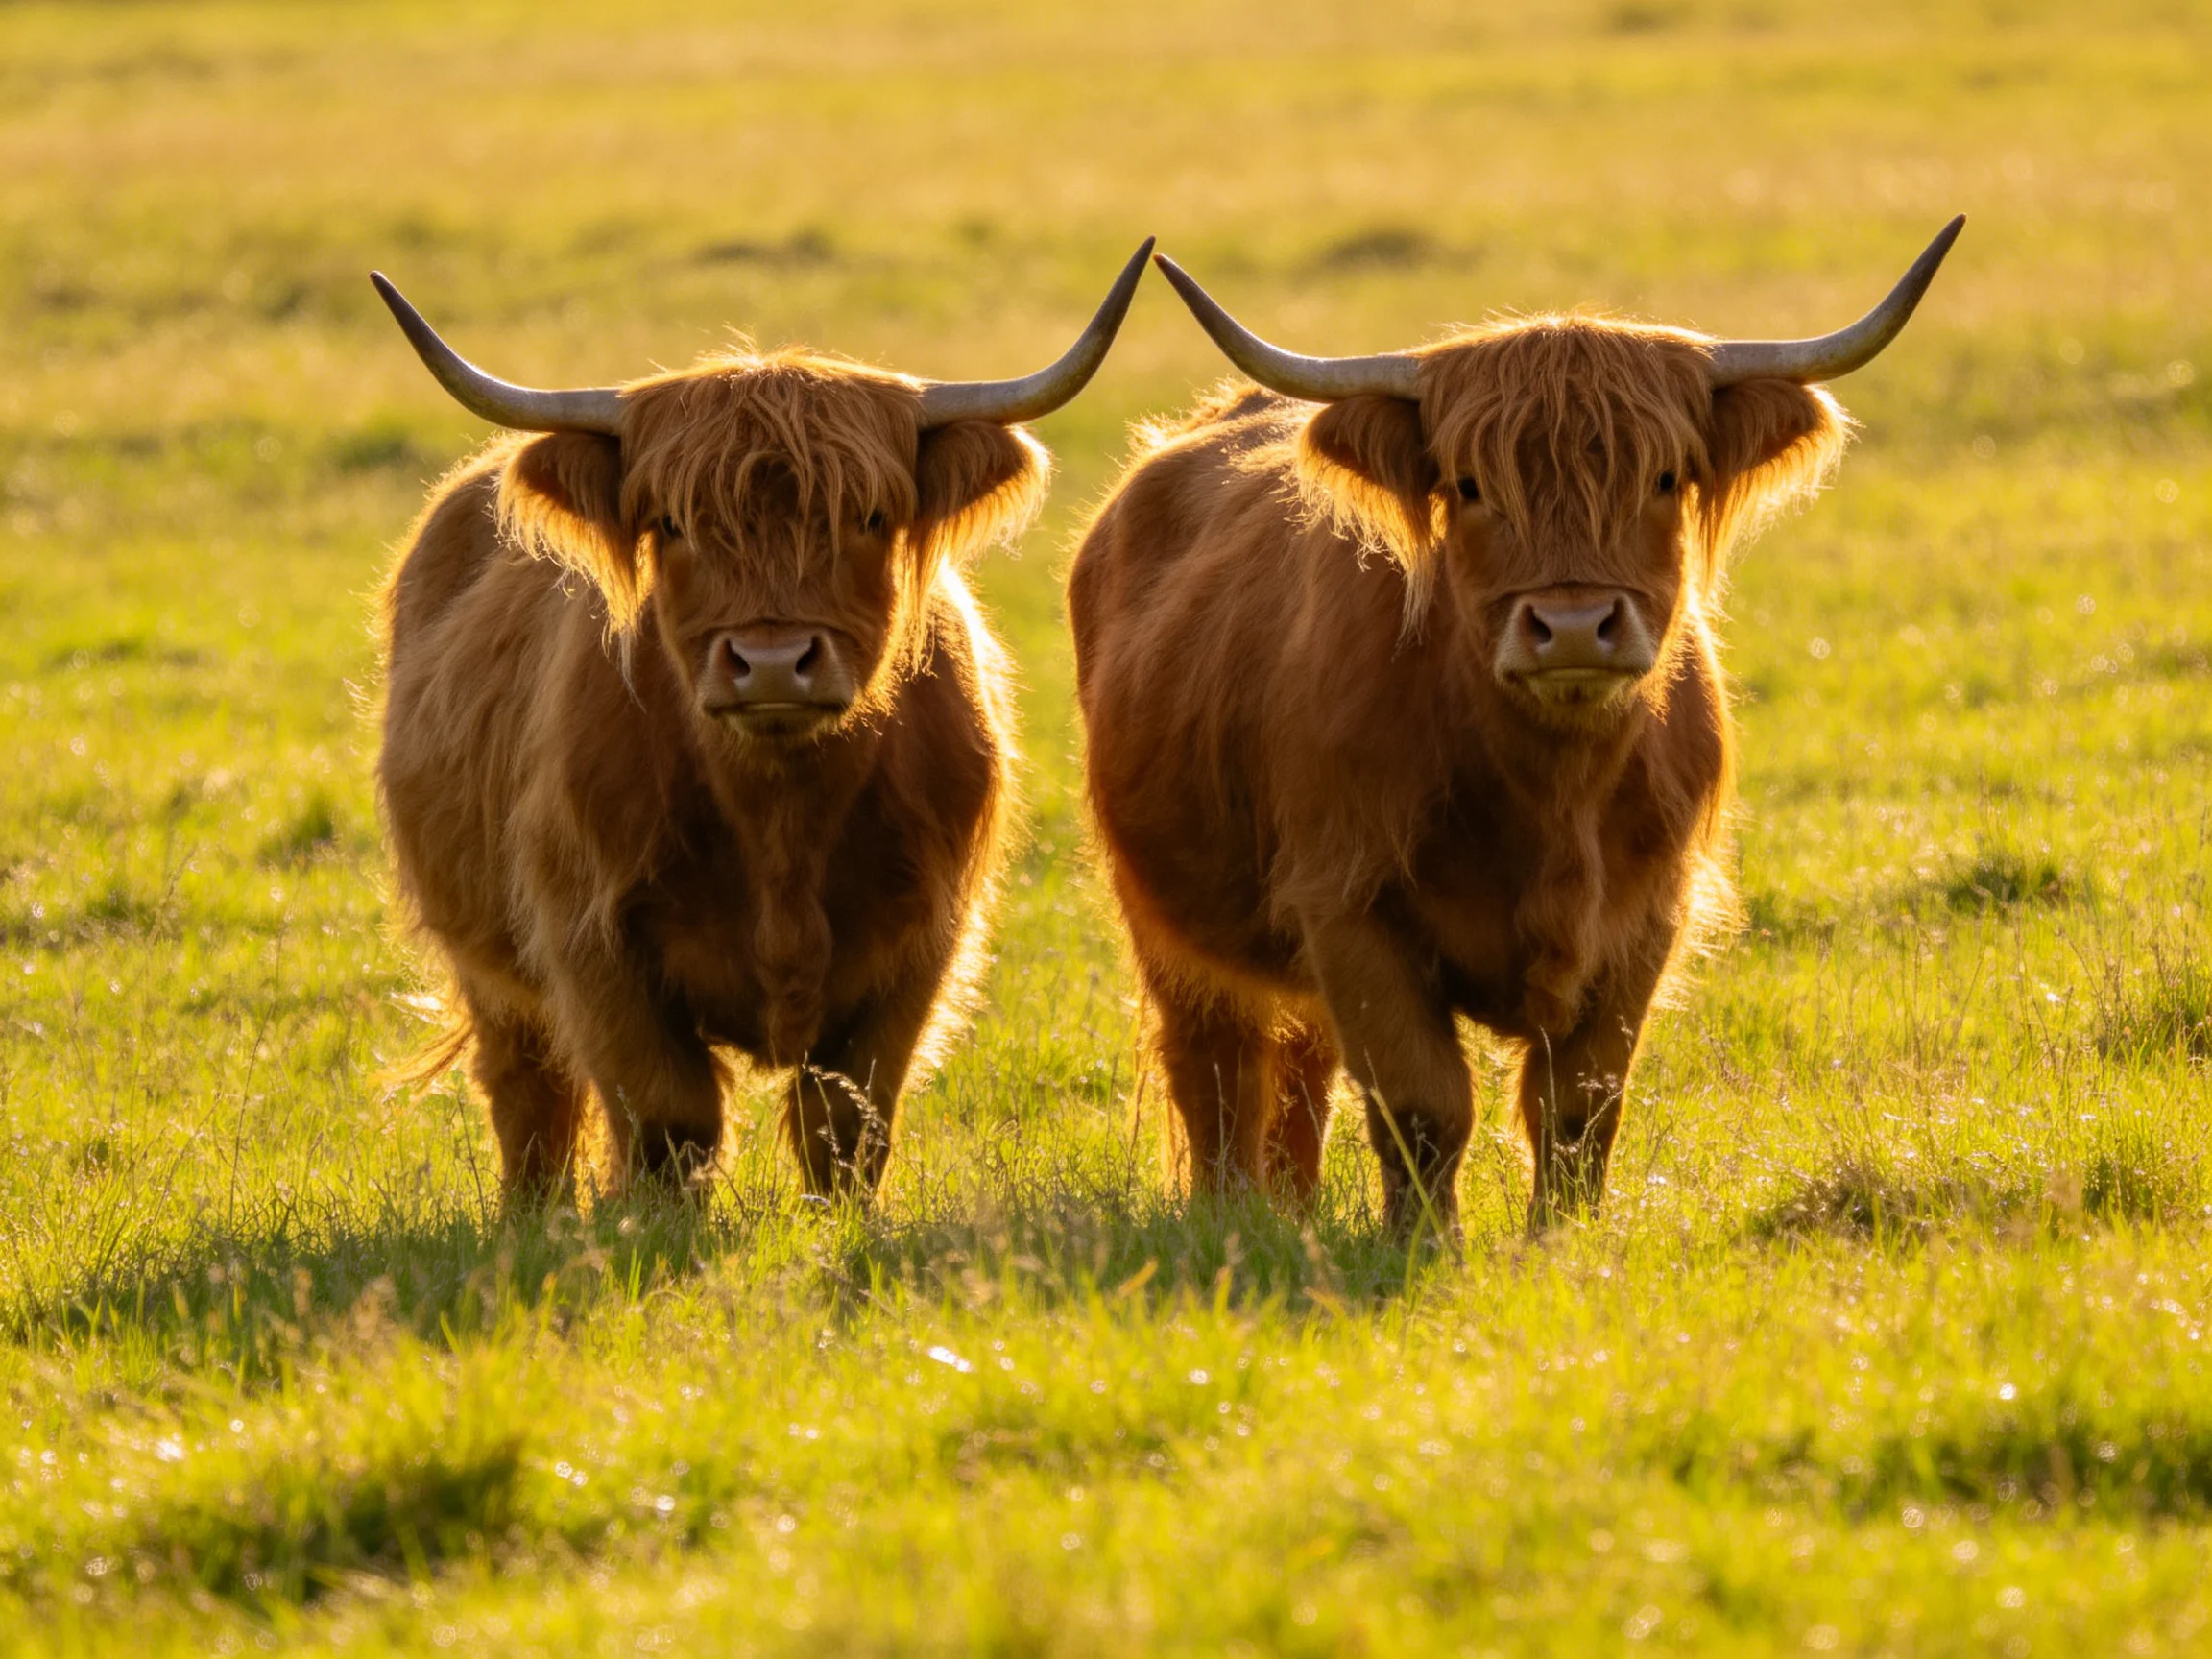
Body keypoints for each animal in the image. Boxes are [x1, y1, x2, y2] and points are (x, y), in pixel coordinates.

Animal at [373, 241, 1152, 1201]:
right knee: (528, 1093)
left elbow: (845, 1125)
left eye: (871, 516)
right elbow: (669, 1124)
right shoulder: (591, 940)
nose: (773, 662)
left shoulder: (923, 943)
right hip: (487, 965)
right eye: (672, 523)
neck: (781, 817)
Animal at [1069, 221, 1961, 1236]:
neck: (1552, 796)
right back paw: (1234, 1215)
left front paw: (1564, 1240)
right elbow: (1423, 1106)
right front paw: (1425, 1246)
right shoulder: (1348, 905)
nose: (1572, 627)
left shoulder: (1645, 919)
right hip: (1167, 914)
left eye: (1663, 477)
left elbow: (1579, 1109)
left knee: (1299, 1070)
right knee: (1218, 1068)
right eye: (1469, 486)